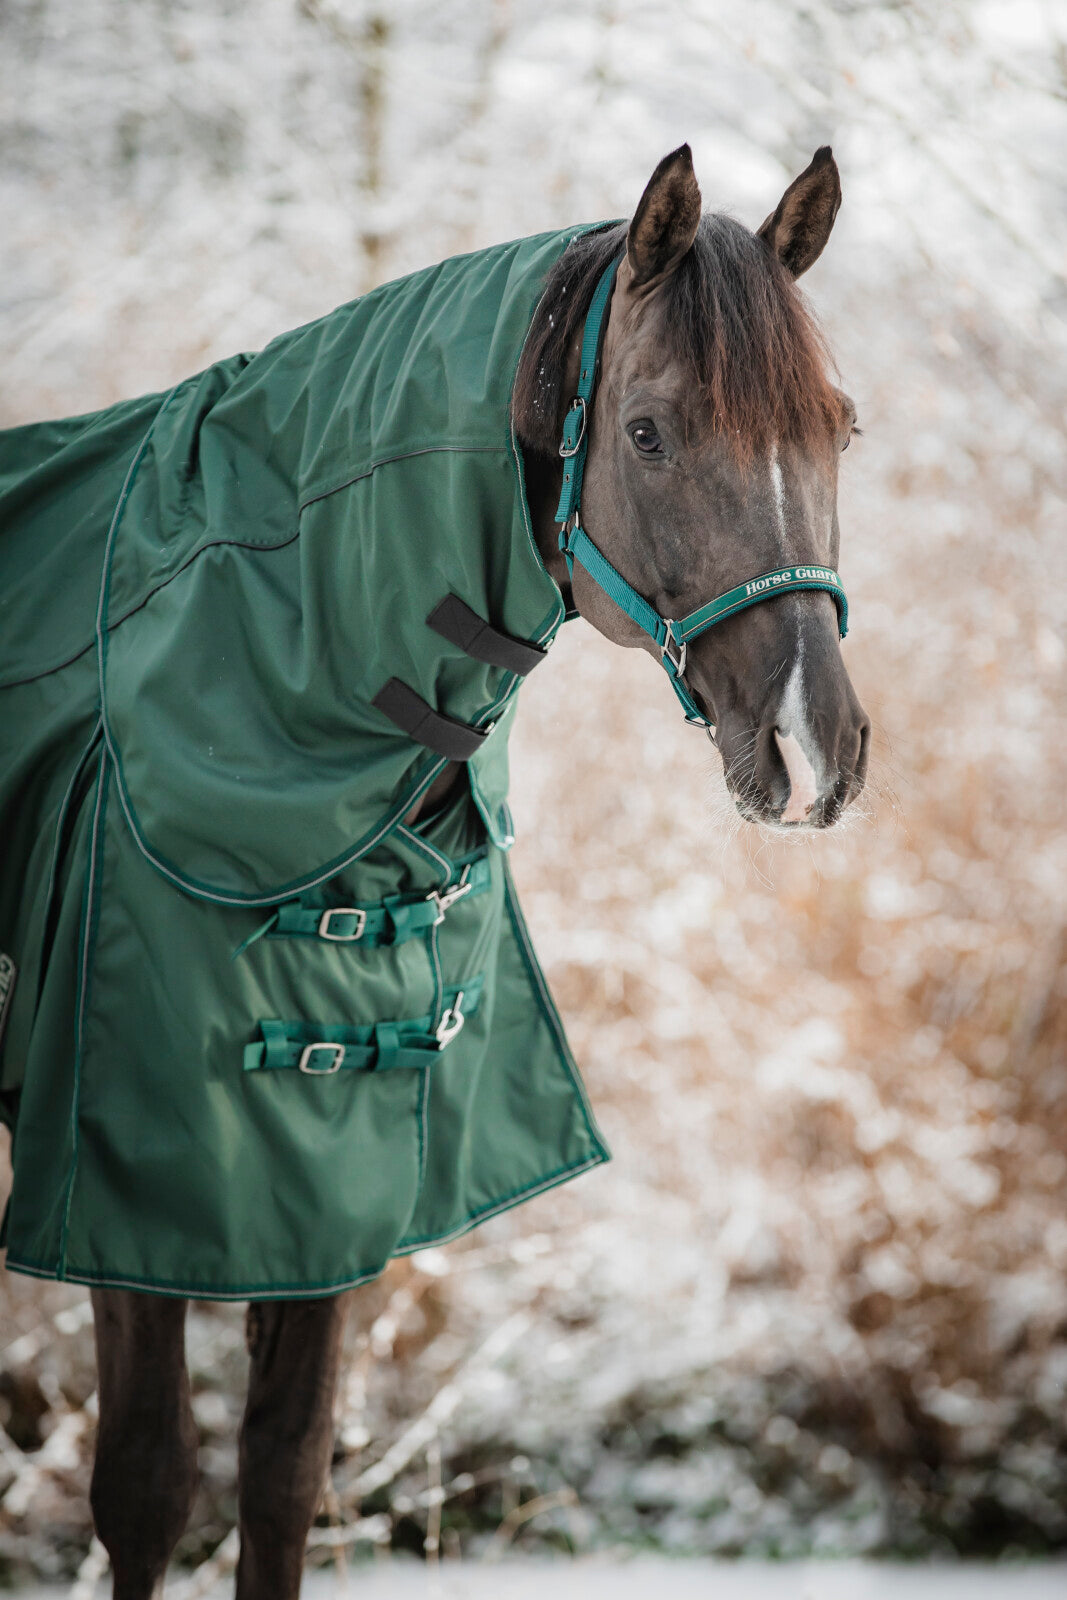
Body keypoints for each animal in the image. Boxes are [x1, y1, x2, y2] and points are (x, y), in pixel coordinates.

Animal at [0, 143, 868, 1597]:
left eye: (837, 431)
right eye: (646, 432)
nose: (814, 750)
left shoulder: (324, 1192)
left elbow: (282, 1475)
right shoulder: (135, 1198)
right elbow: (147, 1485)